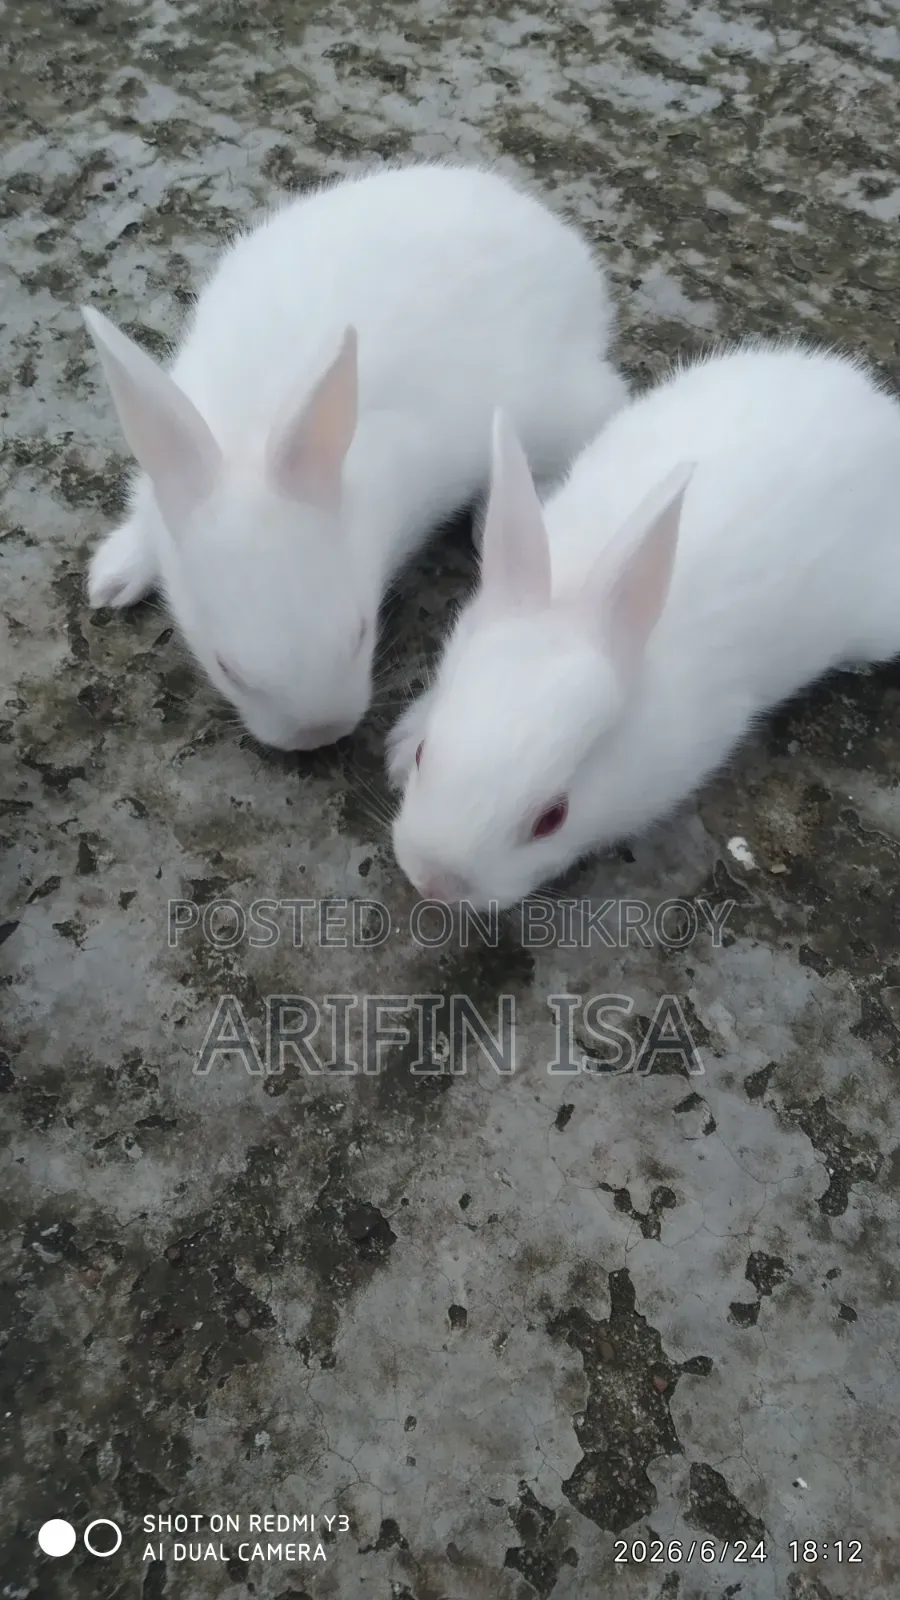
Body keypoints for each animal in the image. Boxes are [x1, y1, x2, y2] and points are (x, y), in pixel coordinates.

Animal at [82, 158, 628, 751]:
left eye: (360, 633)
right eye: (229, 669)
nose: (320, 735)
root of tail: (562, 243)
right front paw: (111, 580)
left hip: (554, 404)